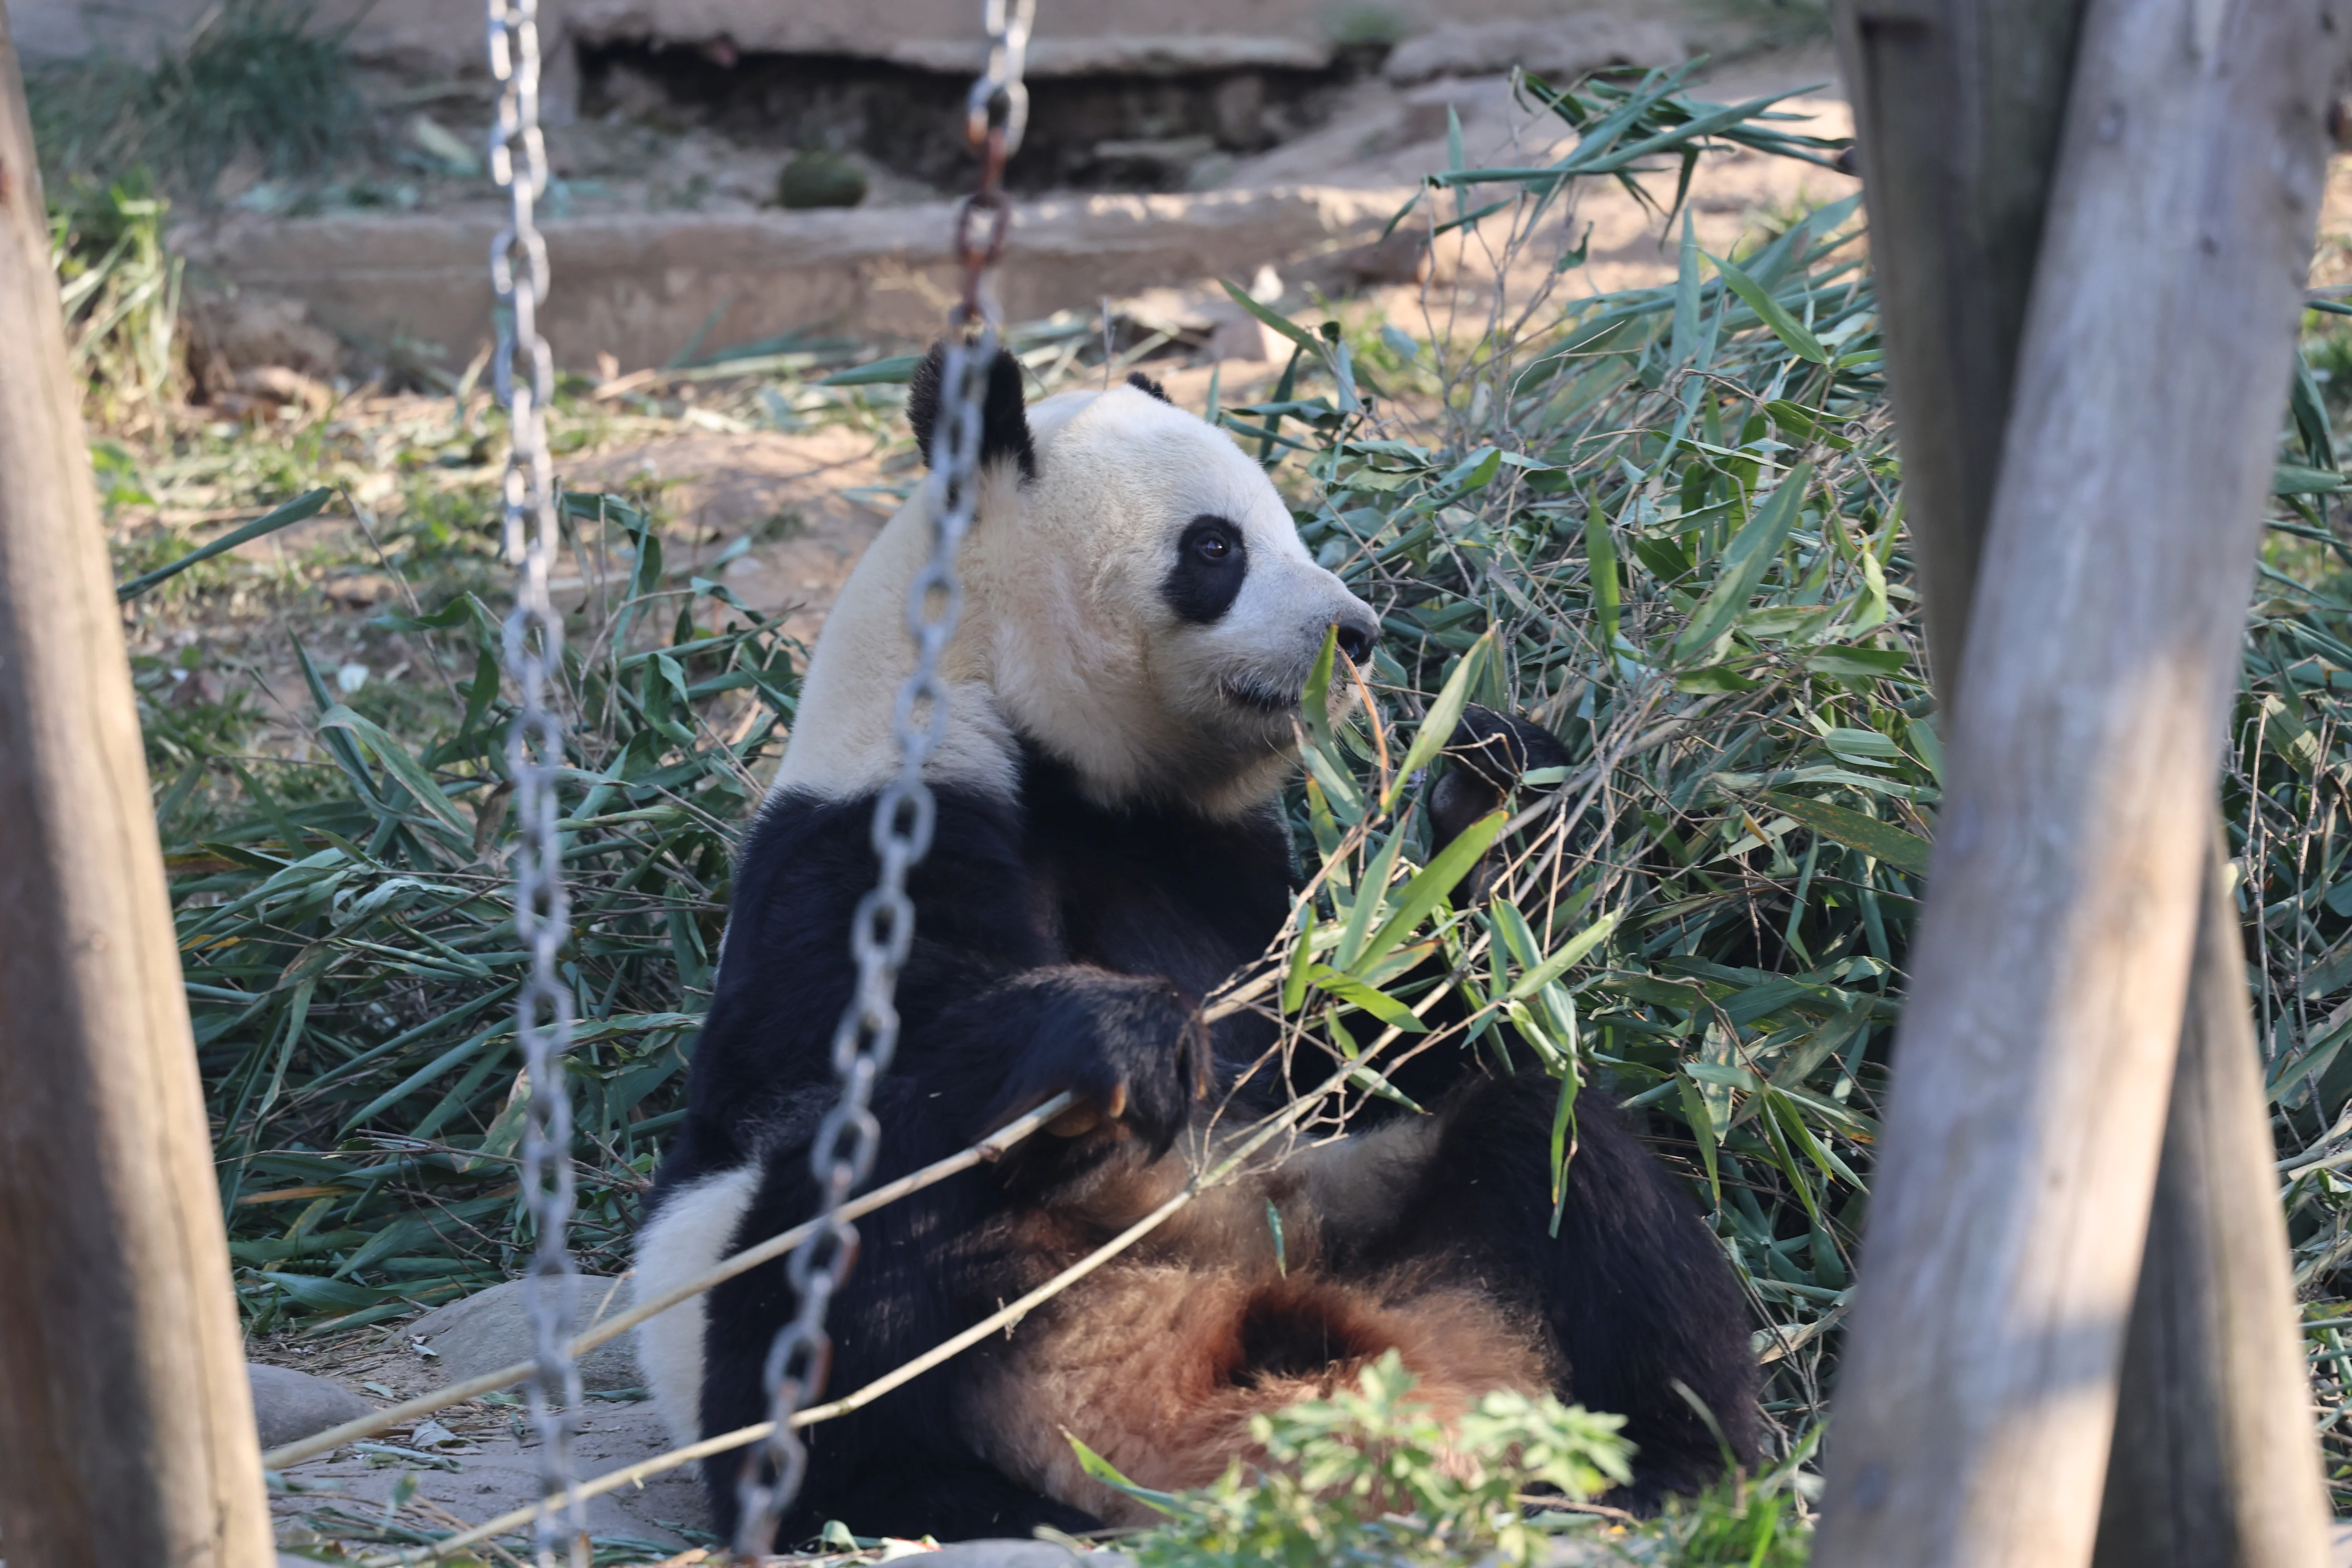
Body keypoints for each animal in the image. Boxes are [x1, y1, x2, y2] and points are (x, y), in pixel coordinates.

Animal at [634, 346, 1759, 1546]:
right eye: (1217, 547)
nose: (1355, 632)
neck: (1059, 768)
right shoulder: (867, 844)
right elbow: (811, 1089)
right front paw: (1117, 1034)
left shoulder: (1227, 884)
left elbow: (1399, 1039)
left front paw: (1495, 784)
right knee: (840, 1255)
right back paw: (915, 1501)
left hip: (1376, 1225)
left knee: (1562, 1159)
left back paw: (1672, 1464)